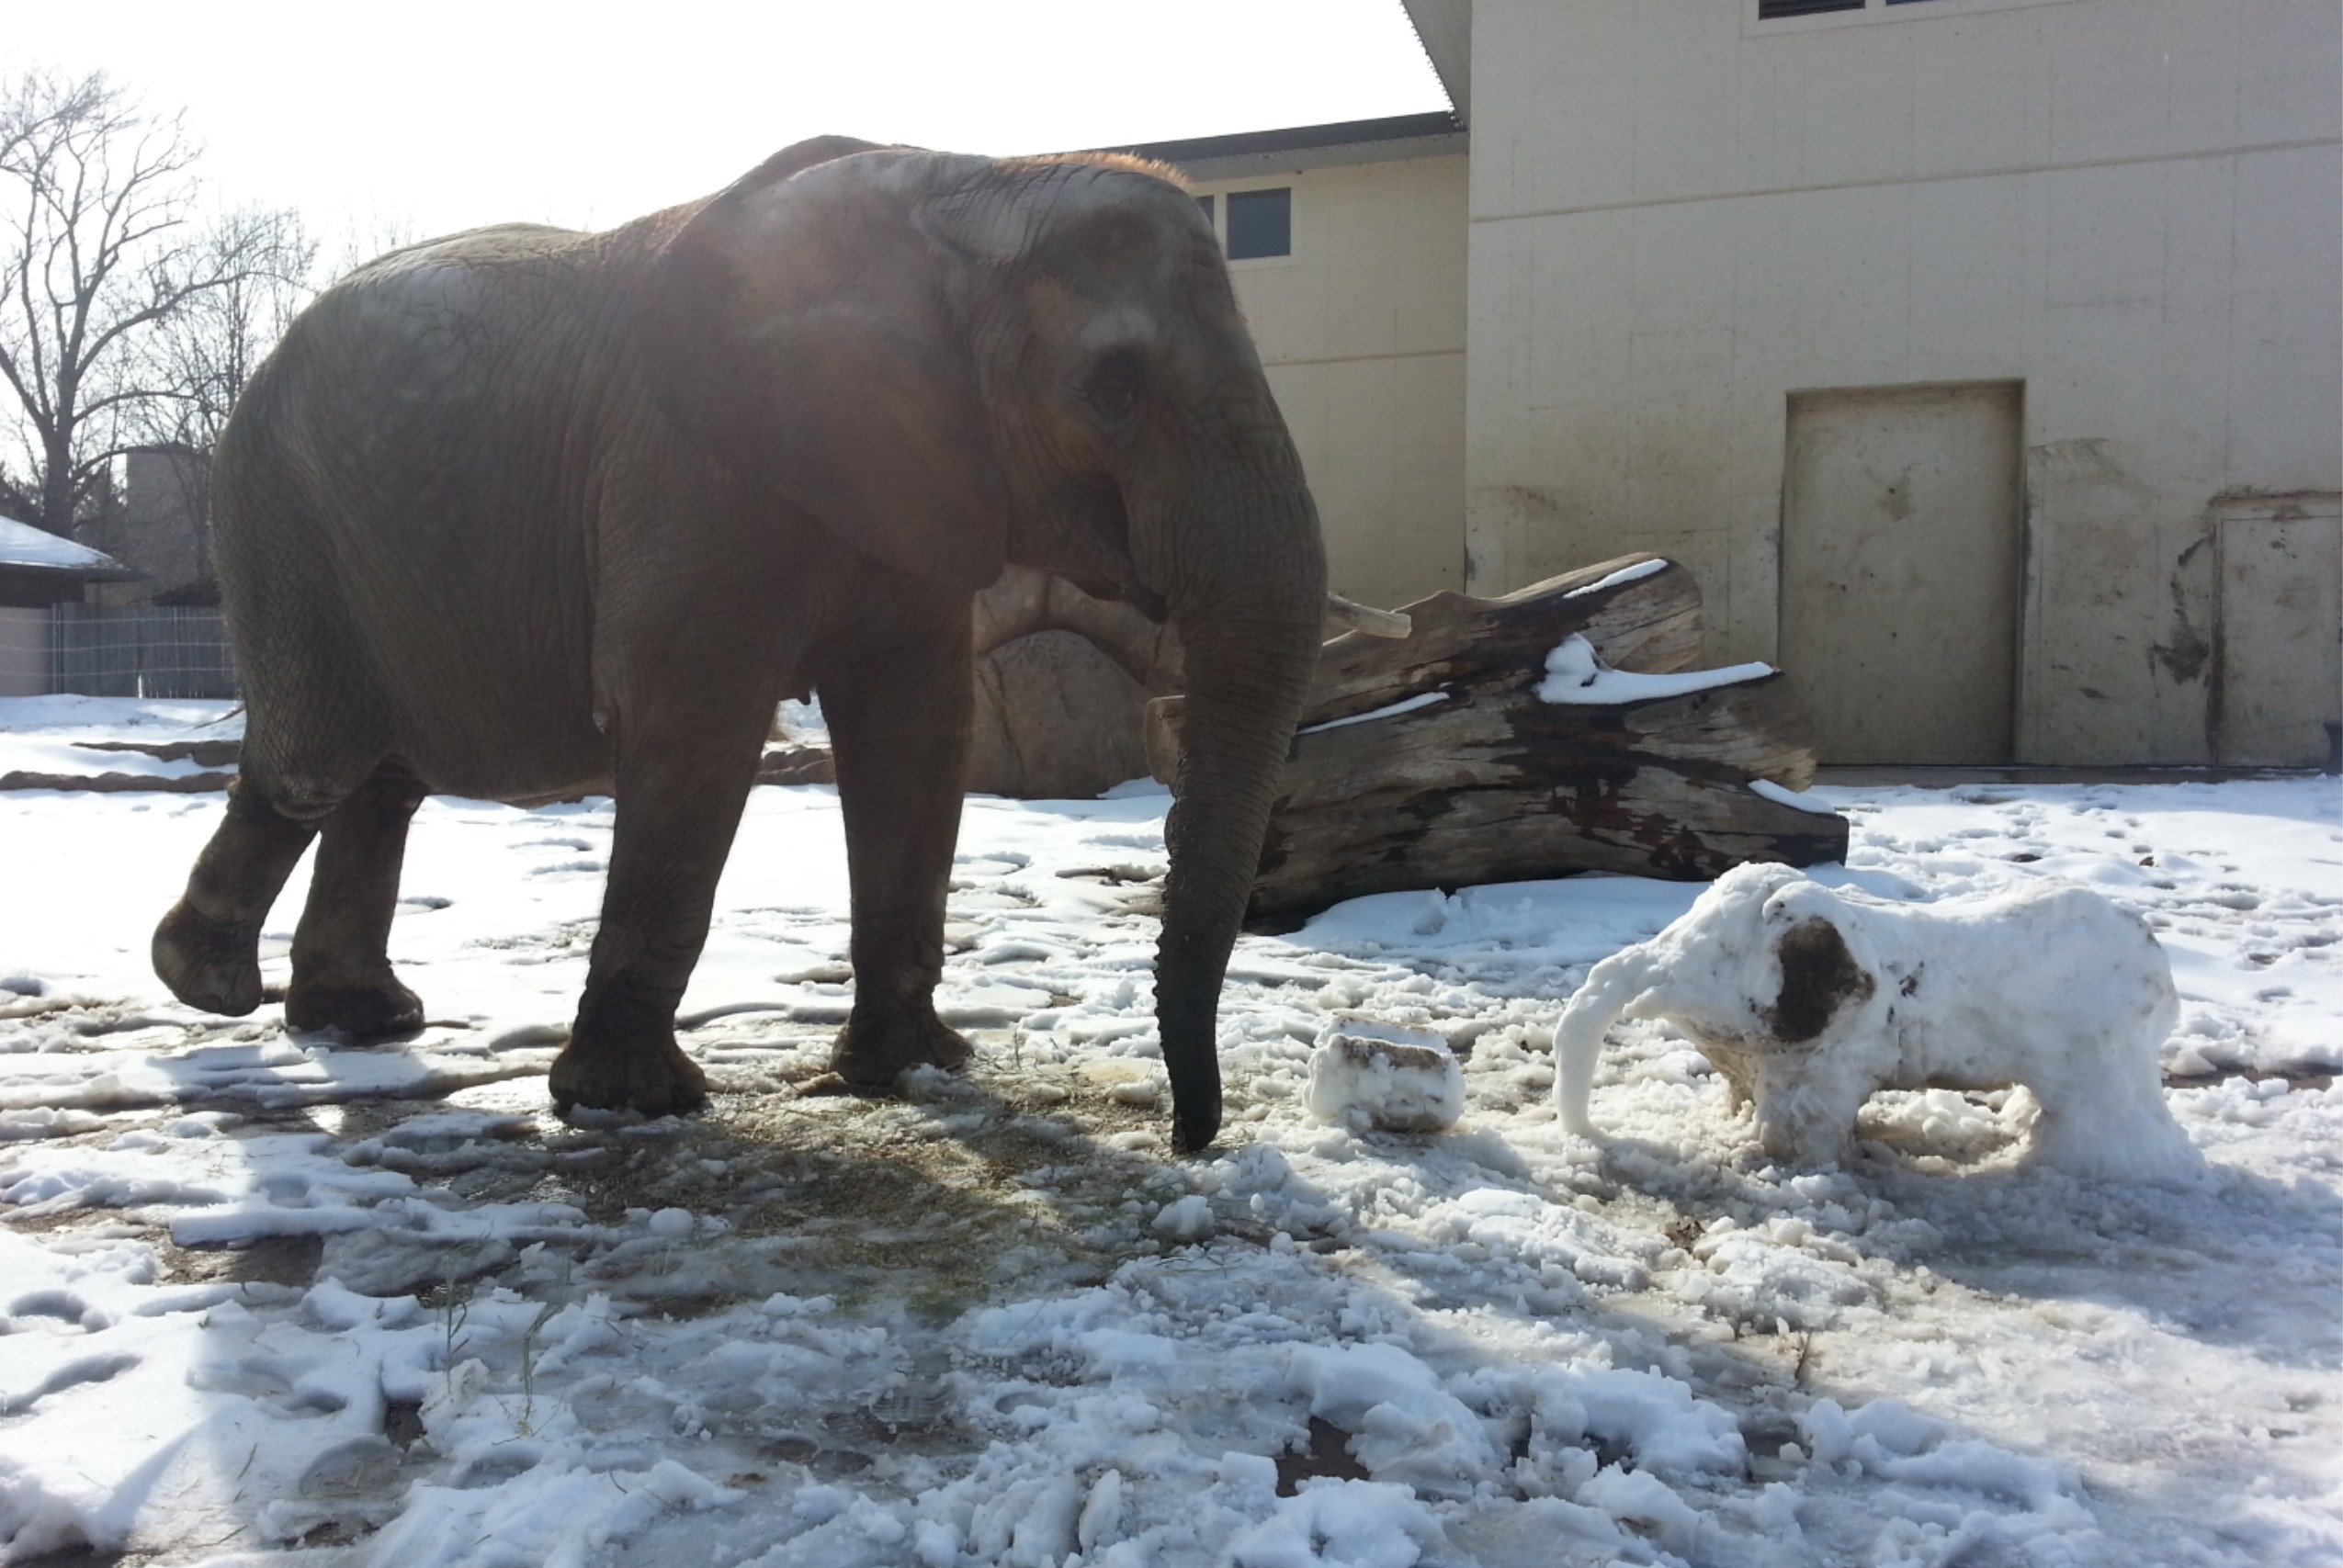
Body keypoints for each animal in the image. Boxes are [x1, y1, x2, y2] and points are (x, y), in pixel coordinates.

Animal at [160, 134, 1340, 1148]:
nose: (1188, 1134)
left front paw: (915, 1071)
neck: (972, 179)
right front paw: (639, 1106)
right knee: (318, 763)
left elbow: (919, 732)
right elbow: (696, 723)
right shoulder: (682, 468)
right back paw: (210, 986)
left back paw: (356, 1019)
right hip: (277, 514)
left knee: (382, 779)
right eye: (1113, 388)